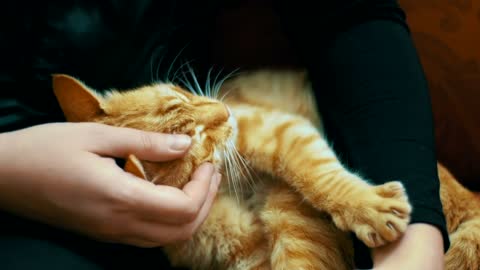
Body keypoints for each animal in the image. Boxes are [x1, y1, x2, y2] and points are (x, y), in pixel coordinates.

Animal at [50, 70, 478, 270]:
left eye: (180, 94)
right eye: (198, 140)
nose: (224, 109)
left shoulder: (278, 129)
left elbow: (316, 174)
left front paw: (368, 207)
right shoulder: (249, 252)